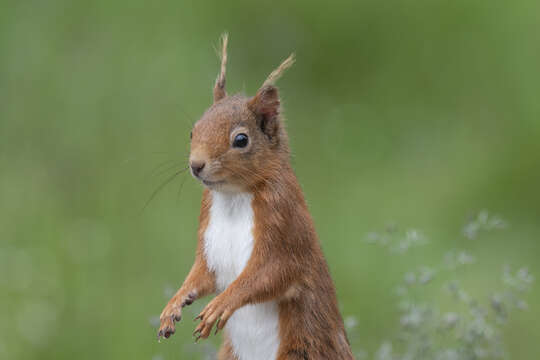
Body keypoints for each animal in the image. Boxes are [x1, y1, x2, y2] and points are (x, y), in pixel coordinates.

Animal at [157, 34, 354, 360]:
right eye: (192, 131)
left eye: (241, 139)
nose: (196, 165)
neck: (233, 197)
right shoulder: (208, 237)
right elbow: (202, 273)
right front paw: (174, 304)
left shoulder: (285, 226)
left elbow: (270, 274)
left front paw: (221, 304)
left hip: (301, 348)